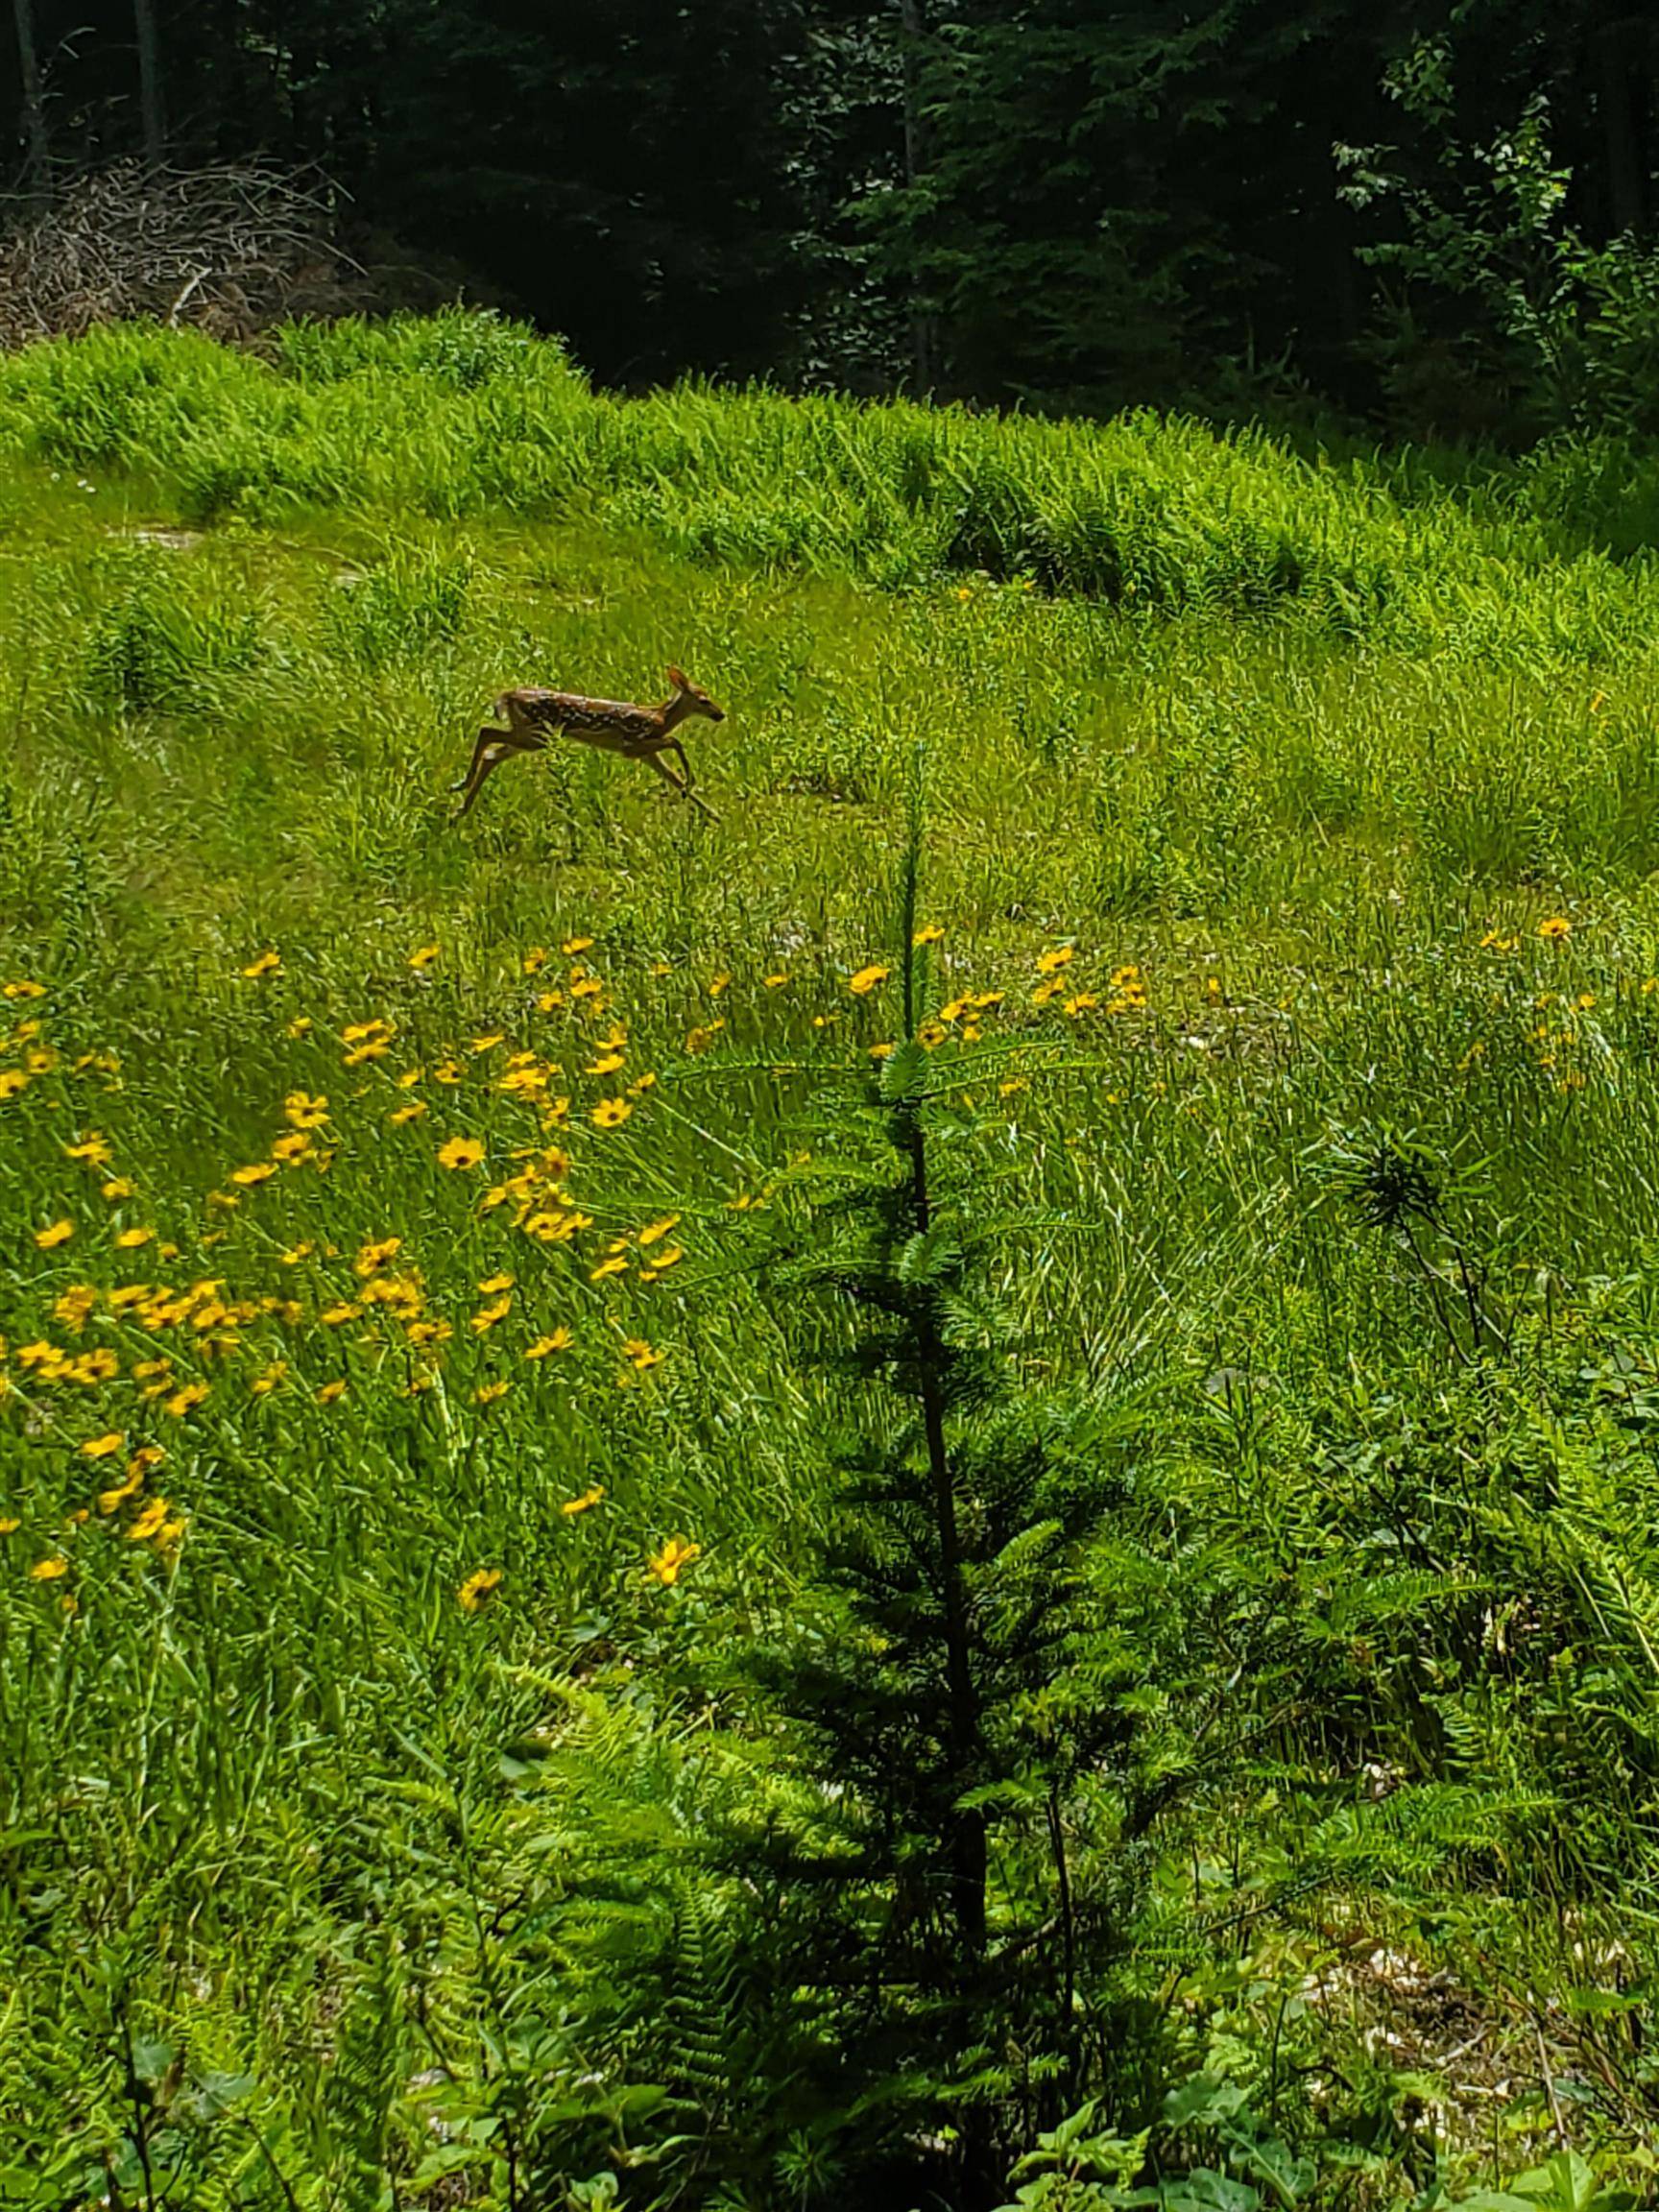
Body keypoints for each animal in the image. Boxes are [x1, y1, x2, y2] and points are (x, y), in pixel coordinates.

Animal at [451, 667, 725, 827]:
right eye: (703, 699)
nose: (720, 714)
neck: (659, 719)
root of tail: (508, 696)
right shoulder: (632, 744)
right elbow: (675, 742)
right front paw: (692, 779)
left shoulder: (647, 754)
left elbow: (673, 777)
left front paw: (714, 814)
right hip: (537, 734)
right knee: (486, 732)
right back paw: (461, 787)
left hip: (531, 734)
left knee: (491, 754)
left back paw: (460, 808)